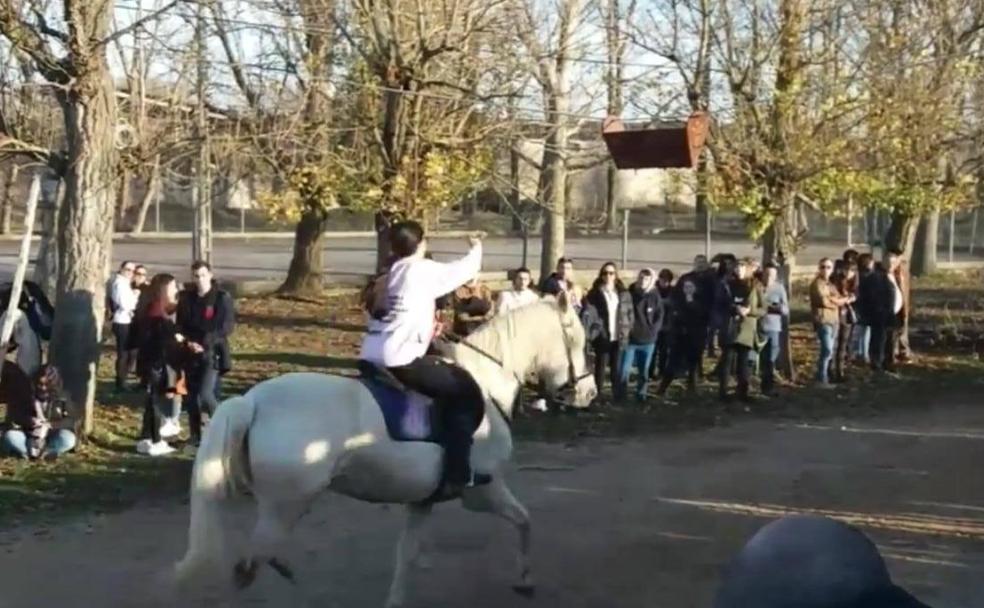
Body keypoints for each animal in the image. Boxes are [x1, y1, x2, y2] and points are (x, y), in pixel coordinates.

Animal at [173, 292, 596, 604]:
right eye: (578, 340)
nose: (589, 393)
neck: (486, 379)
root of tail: (252, 401)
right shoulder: (483, 491)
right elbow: (524, 520)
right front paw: (526, 579)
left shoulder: (423, 500)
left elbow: (406, 555)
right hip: (286, 504)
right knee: (251, 561)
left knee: (255, 559)